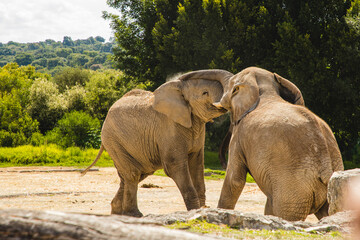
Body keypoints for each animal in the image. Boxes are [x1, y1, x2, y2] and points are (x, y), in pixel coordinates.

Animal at [81, 70, 233, 218]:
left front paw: (200, 212)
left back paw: (118, 212)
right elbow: (174, 166)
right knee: (133, 174)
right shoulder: (169, 128)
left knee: (134, 175)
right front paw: (195, 212)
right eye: (205, 93)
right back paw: (134, 215)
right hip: (113, 140)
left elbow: (197, 166)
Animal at [186, 67, 344, 221]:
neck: (265, 90)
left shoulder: (240, 136)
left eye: (231, 87)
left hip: (294, 188)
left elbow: (234, 180)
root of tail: (325, 165)